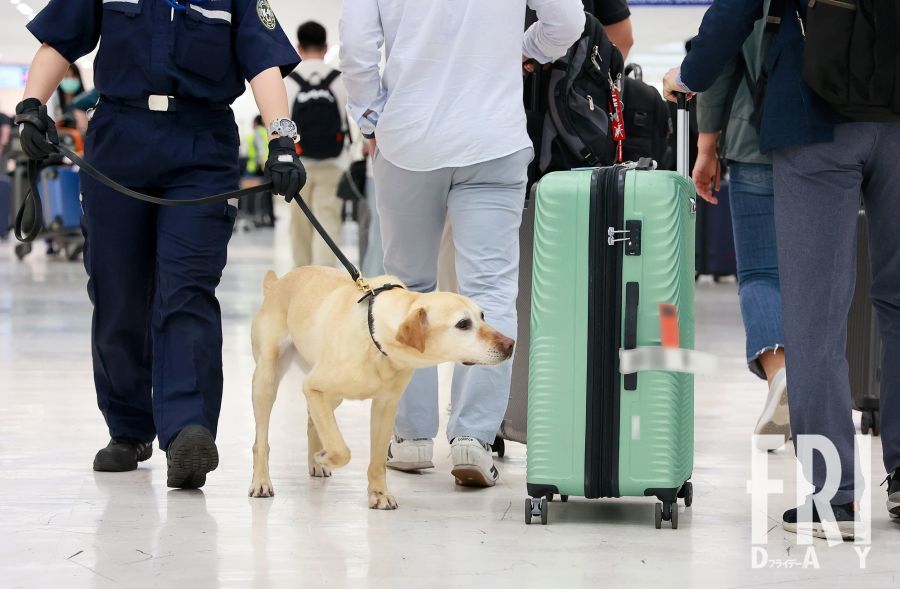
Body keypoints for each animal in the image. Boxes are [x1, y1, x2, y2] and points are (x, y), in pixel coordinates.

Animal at [248, 268, 512, 510]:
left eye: (483, 316)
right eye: (463, 324)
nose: (510, 344)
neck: (375, 336)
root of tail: (277, 284)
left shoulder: (385, 406)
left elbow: (376, 461)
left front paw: (378, 494)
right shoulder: (314, 387)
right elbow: (341, 449)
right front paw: (328, 458)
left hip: (332, 396)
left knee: (313, 420)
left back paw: (315, 463)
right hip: (267, 382)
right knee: (261, 442)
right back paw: (262, 481)